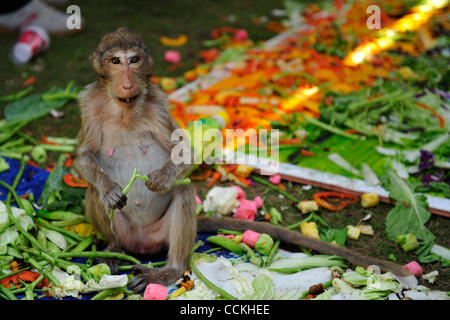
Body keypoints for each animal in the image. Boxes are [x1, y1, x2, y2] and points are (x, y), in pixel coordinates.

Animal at [74, 28, 412, 294]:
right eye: (115, 61)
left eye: (134, 60)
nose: (127, 82)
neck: (126, 107)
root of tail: (142, 247)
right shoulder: (88, 103)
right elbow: (83, 158)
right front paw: (110, 189)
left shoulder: (158, 104)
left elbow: (185, 154)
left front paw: (160, 179)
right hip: (128, 233)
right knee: (93, 191)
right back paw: (113, 248)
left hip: (160, 234)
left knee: (183, 190)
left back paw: (171, 268)